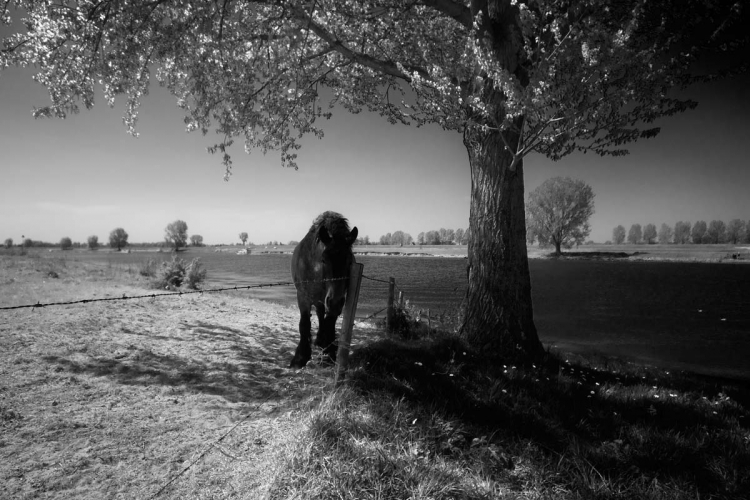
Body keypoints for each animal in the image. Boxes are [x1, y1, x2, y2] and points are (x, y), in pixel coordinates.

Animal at [290, 211, 358, 368]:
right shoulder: (302, 297)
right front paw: (300, 357)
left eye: (349, 261)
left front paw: (330, 351)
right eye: (324, 259)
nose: (335, 302)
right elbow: (304, 323)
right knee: (319, 313)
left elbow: (329, 322)